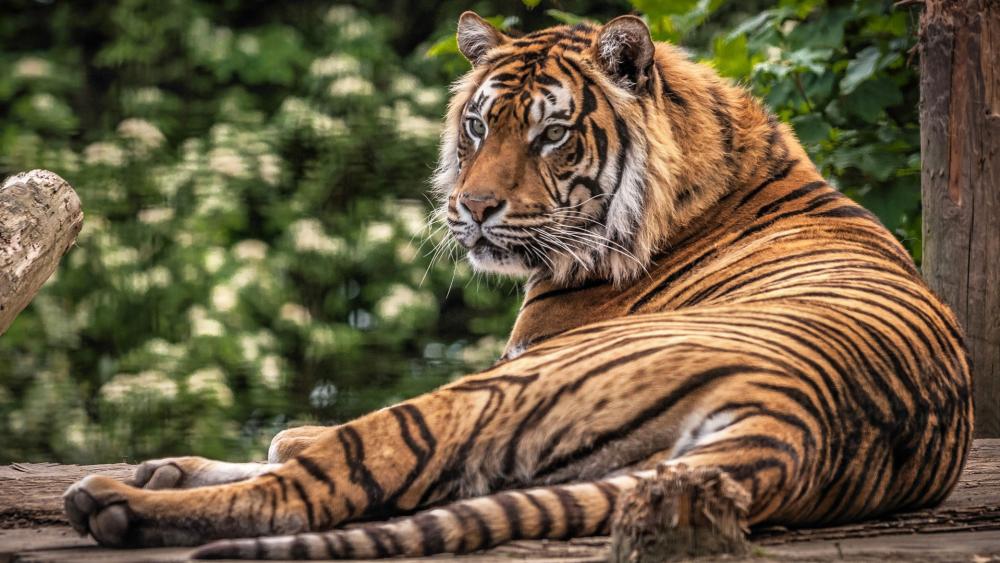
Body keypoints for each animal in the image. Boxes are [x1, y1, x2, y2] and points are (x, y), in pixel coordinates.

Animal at [63, 11, 972, 560]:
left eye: (552, 134)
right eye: (477, 125)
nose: (472, 208)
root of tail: (796, 424)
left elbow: (303, 445)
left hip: (492, 393)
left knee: (316, 483)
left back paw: (115, 500)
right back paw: (155, 474)